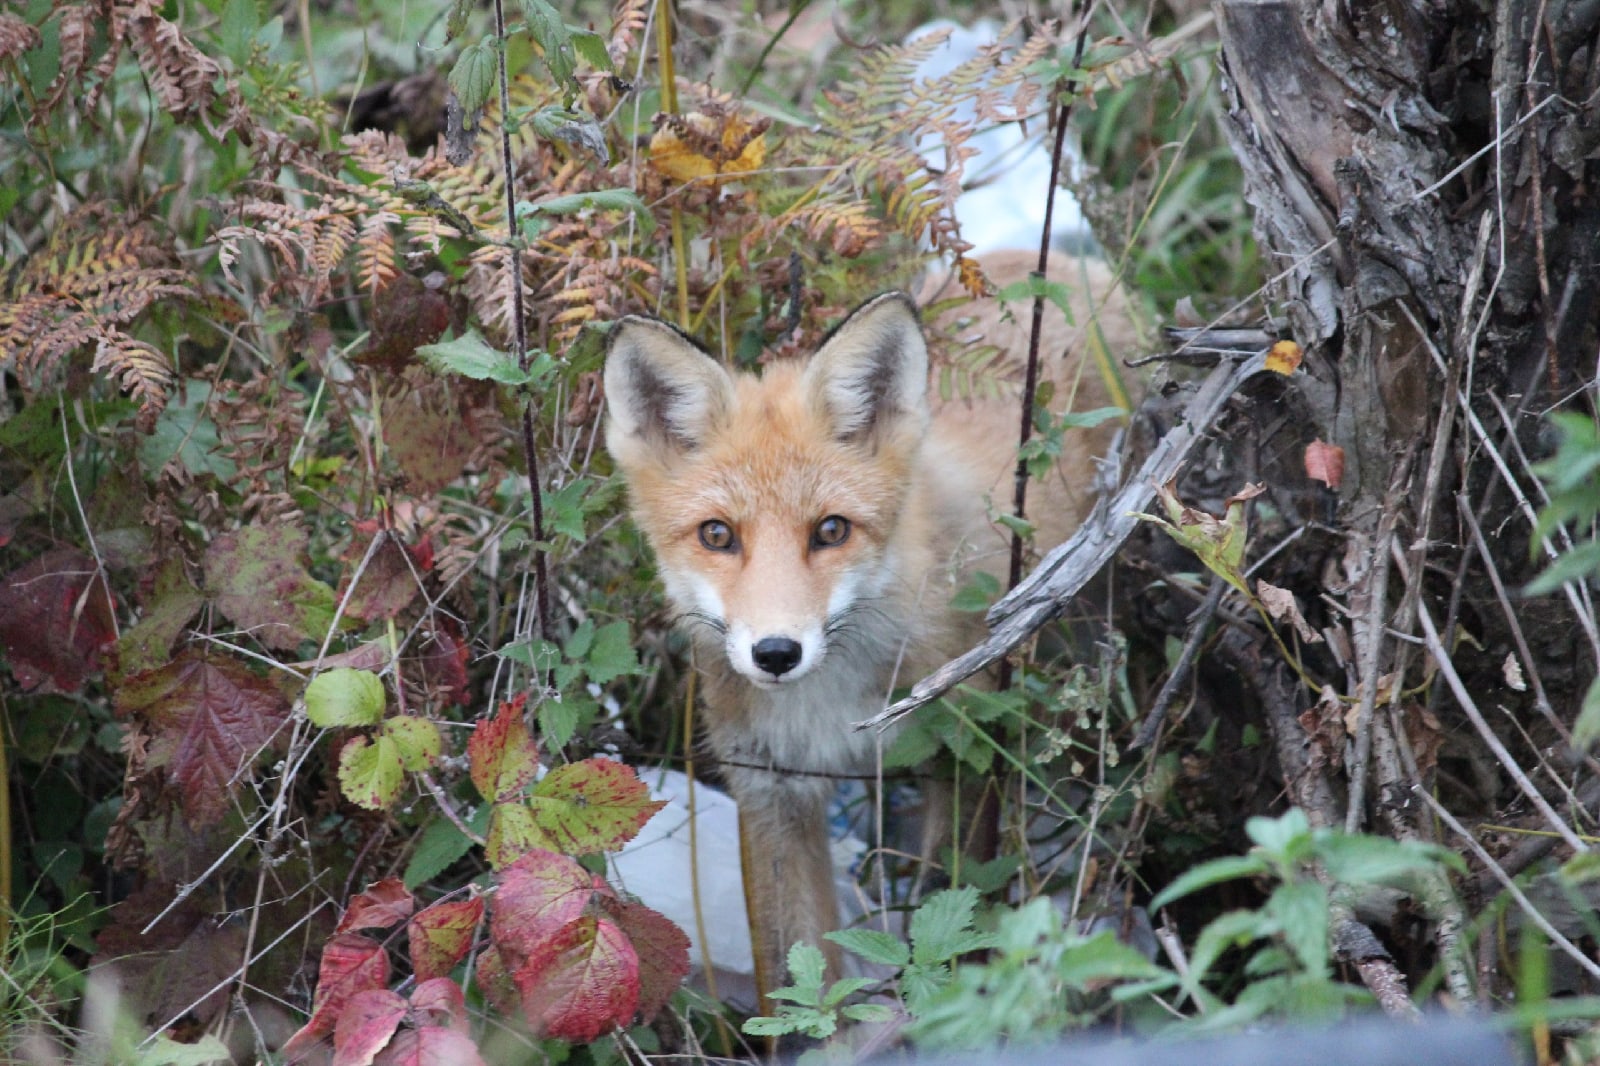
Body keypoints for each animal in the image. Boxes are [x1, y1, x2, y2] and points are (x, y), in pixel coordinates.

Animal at [601, 251, 1139, 998]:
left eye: (831, 530)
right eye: (717, 535)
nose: (776, 653)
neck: (833, 708)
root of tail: (1063, 260)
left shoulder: (961, 751)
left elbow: (950, 915)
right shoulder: (772, 787)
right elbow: (799, 981)